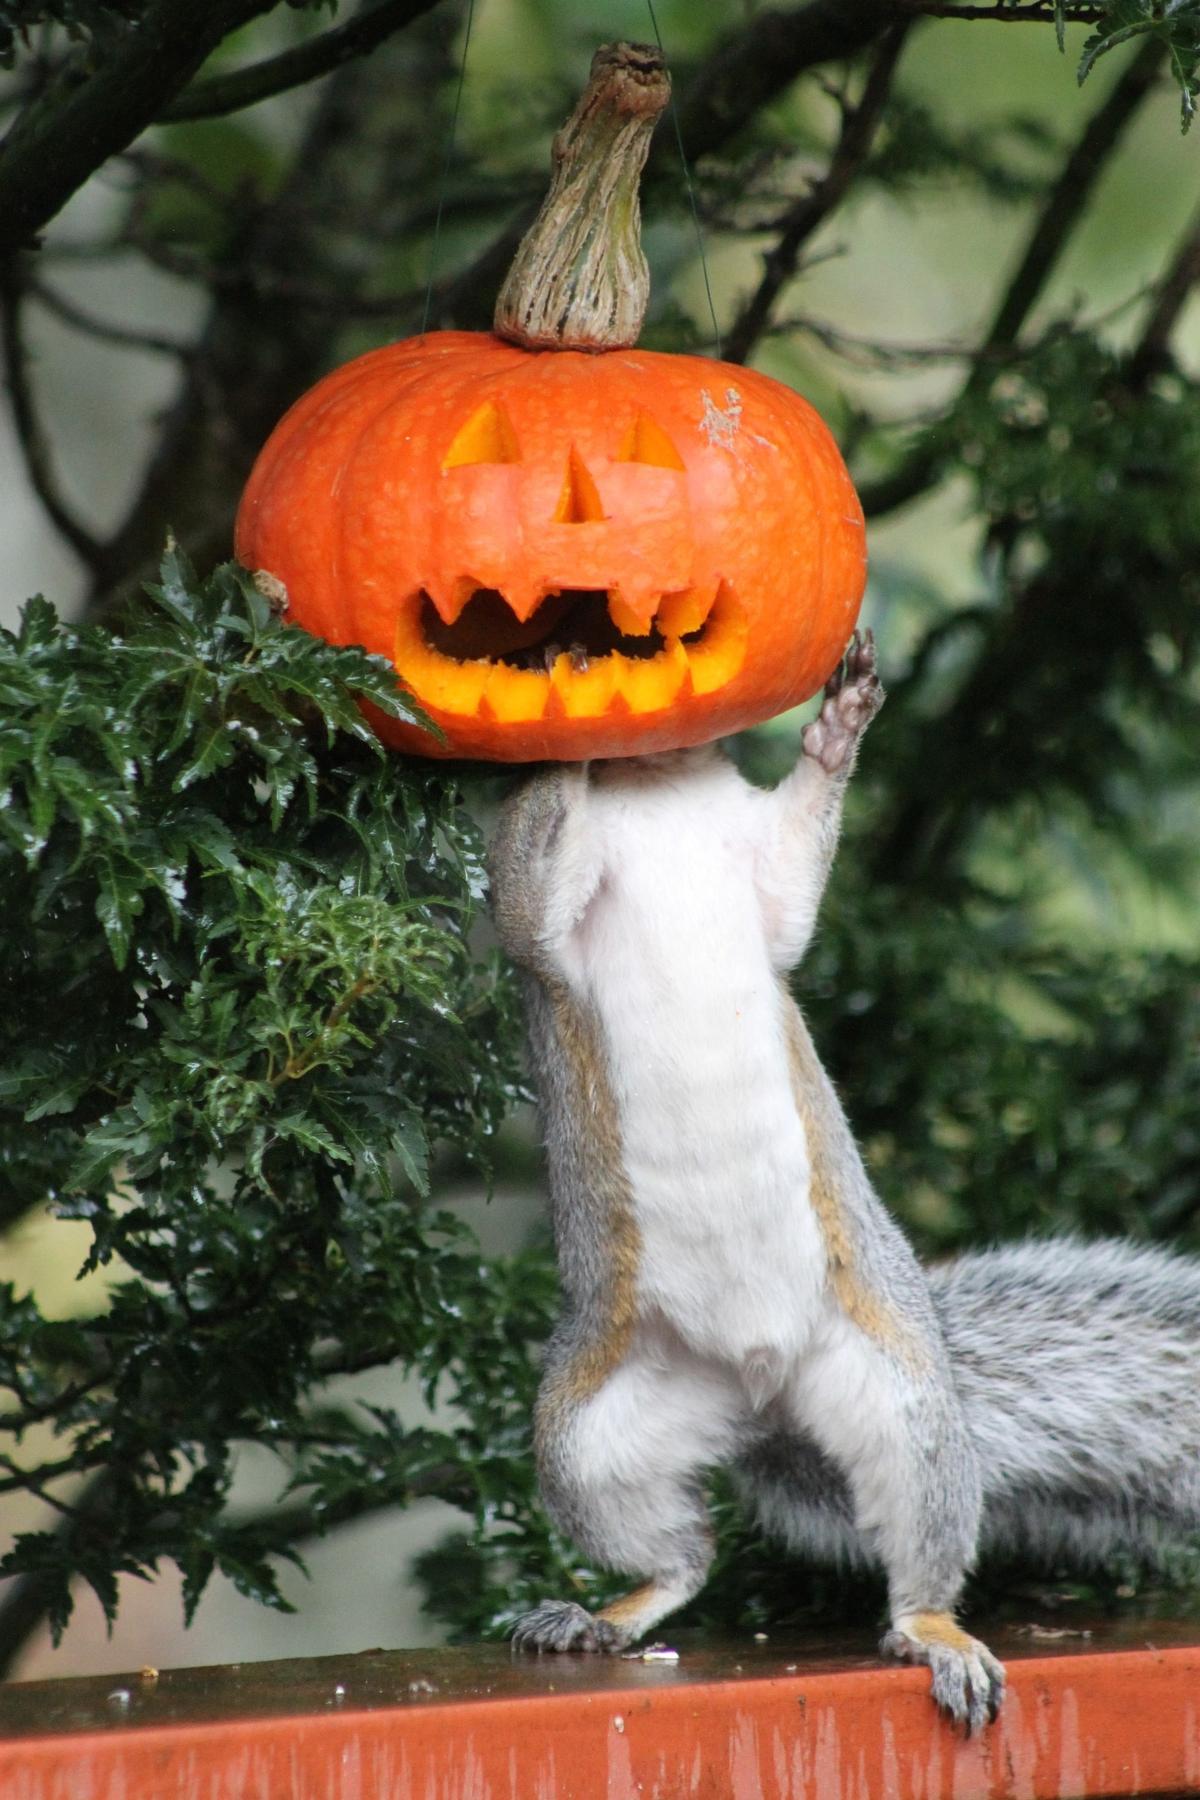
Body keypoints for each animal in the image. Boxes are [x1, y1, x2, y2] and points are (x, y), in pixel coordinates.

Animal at [488, 634, 1200, 1731]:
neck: (658, 792)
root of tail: (756, 1396)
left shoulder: (760, 872)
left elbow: (792, 884)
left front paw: (839, 726)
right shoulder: (547, 928)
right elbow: (528, 909)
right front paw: (559, 721)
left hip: (902, 1402)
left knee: (910, 1560)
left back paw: (935, 1633)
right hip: (590, 1429)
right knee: (680, 1554)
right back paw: (605, 1617)